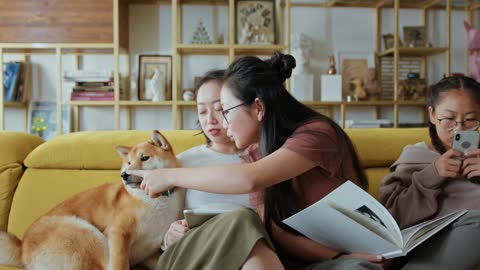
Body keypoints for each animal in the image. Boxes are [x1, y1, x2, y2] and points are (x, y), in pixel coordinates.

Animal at [0, 130, 184, 268]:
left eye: (145, 158)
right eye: (129, 162)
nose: (124, 175)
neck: (155, 200)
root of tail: (22, 246)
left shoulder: (149, 252)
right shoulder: (118, 233)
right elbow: (120, 264)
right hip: (87, 233)